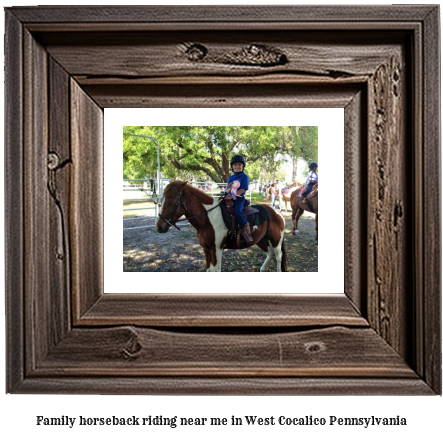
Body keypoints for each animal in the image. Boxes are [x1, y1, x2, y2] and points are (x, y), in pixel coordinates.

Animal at [155, 181, 288, 270]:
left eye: (171, 202)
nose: (159, 227)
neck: (208, 218)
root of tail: (276, 213)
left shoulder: (217, 250)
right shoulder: (206, 249)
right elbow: (209, 270)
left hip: (276, 240)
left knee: (278, 257)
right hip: (261, 240)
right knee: (270, 254)